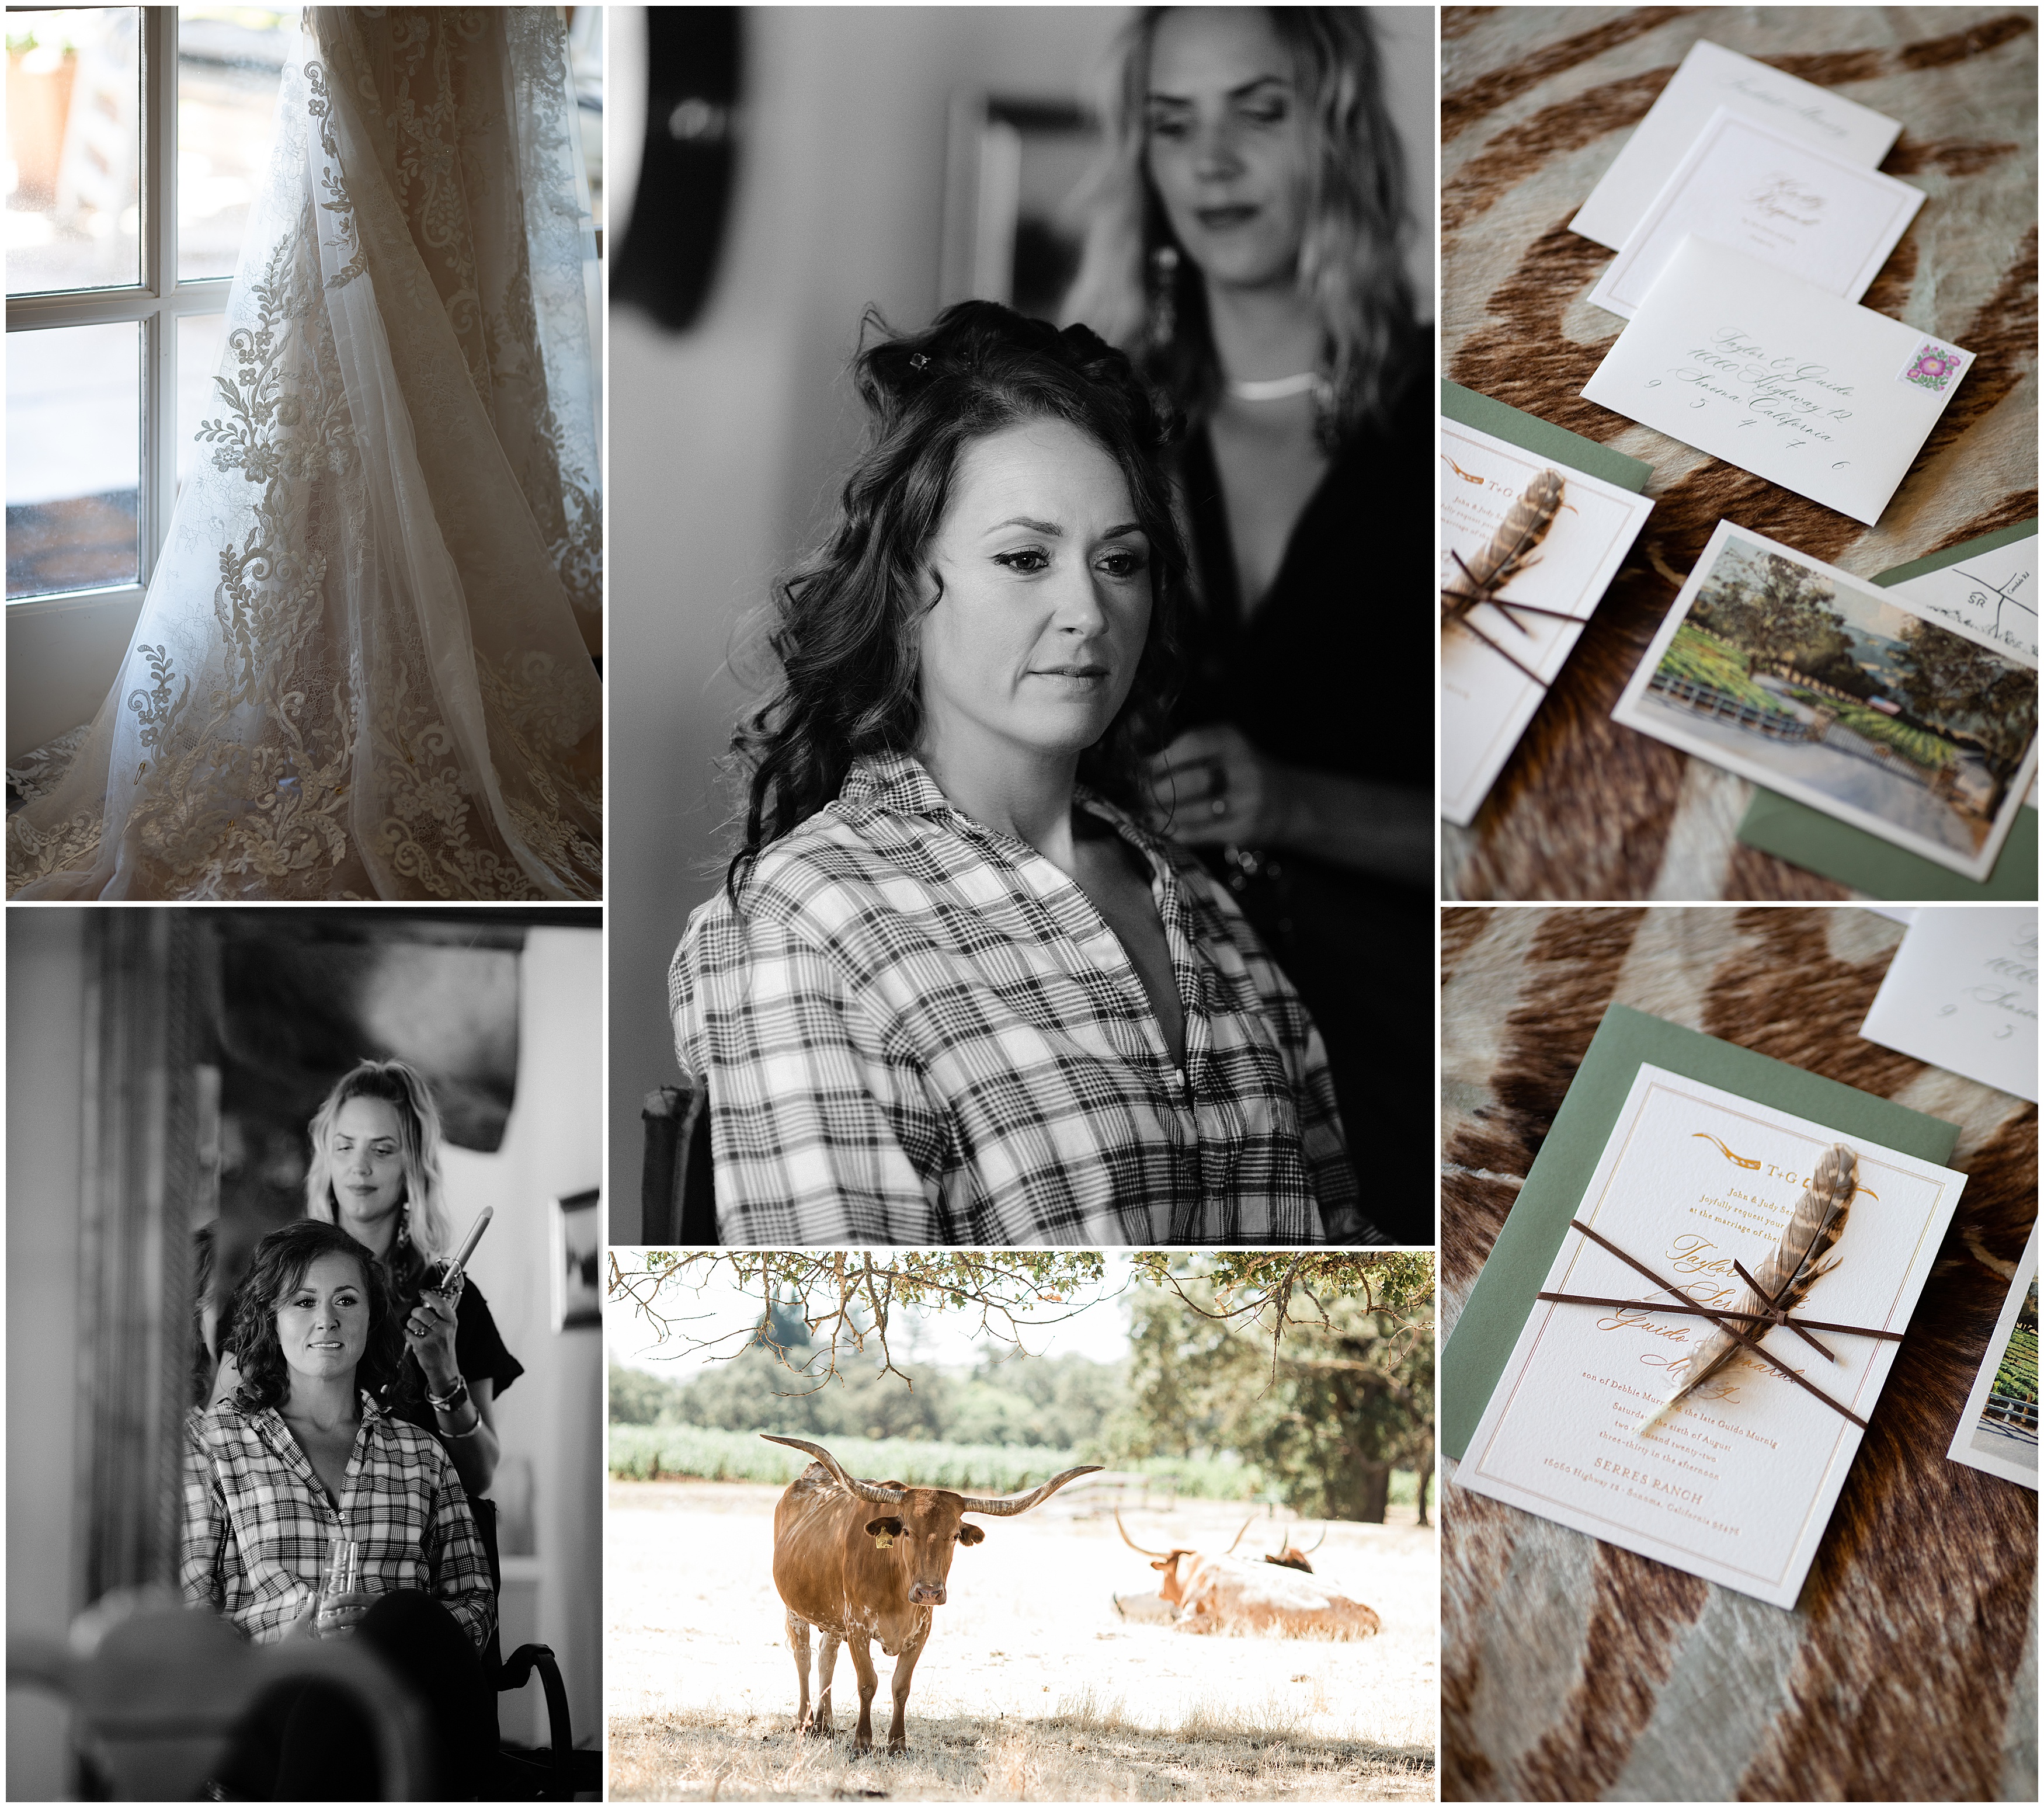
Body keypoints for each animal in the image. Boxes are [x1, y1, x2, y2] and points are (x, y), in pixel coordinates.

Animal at [764, 1421, 1104, 1748]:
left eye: (954, 1535)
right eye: (907, 1531)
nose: (929, 1592)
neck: (896, 1590)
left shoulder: (920, 1631)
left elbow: (901, 1686)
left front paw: (898, 1743)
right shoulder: (857, 1625)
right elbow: (868, 1683)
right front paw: (862, 1741)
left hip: (832, 1618)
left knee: (827, 1657)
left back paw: (826, 1723)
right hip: (795, 1610)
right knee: (804, 1658)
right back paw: (805, 1721)